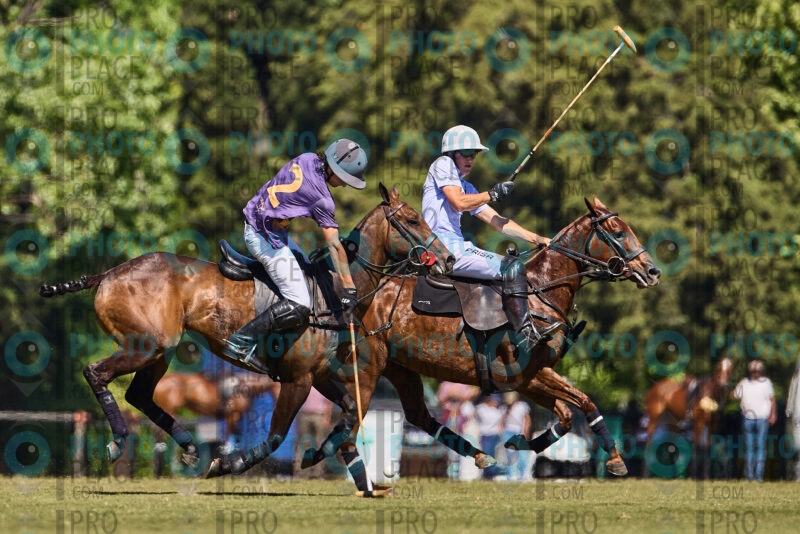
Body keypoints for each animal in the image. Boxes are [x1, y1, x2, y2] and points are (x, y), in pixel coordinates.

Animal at [40, 184, 455, 484]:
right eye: (412, 219)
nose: (448, 259)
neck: (334, 290)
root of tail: (108, 274)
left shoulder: (318, 375)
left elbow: (350, 410)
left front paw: (315, 454)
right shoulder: (297, 379)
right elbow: (276, 436)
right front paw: (228, 464)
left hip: (159, 350)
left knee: (139, 394)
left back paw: (190, 448)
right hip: (147, 344)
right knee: (96, 373)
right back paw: (119, 441)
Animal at [304, 197, 662, 479]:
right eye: (618, 232)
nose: (653, 271)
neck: (539, 293)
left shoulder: (530, 377)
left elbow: (568, 413)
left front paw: (520, 443)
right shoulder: (523, 374)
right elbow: (585, 403)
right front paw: (616, 460)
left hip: (400, 368)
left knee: (415, 415)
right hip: (369, 366)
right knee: (353, 412)